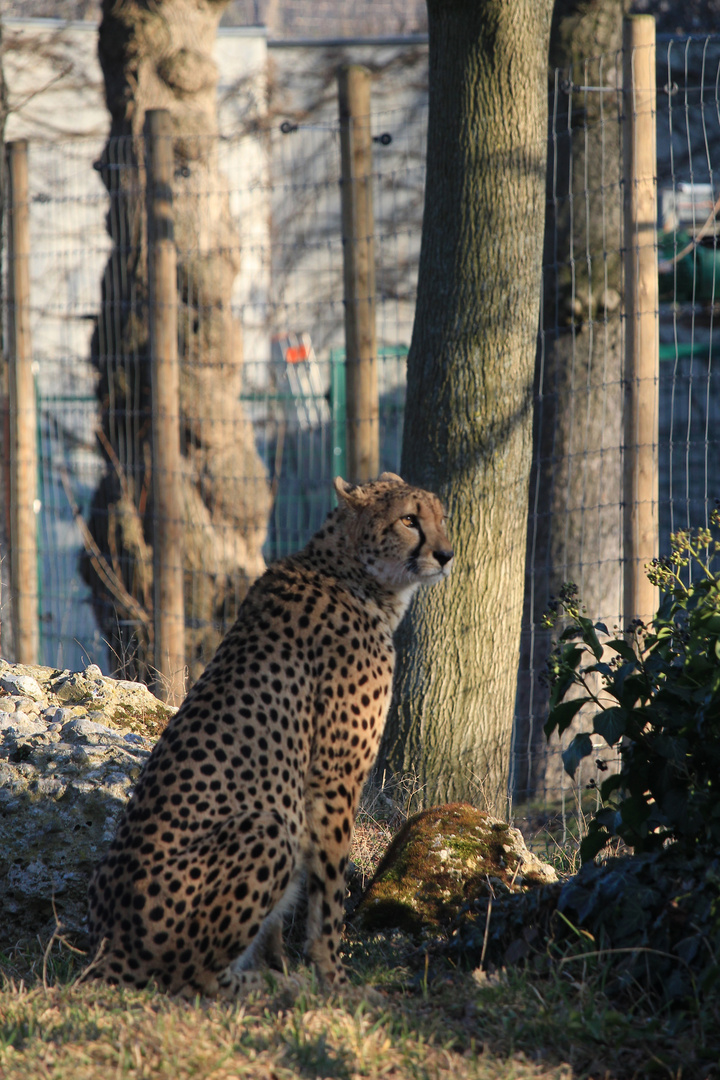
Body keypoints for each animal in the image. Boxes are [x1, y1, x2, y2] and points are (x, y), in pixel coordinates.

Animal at [84, 473, 453, 993]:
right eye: (408, 520)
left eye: (441, 517)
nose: (446, 554)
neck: (354, 575)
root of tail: (108, 947)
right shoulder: (333, 778)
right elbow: (329, 894)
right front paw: (333, 979)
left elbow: (281, 918)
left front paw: (281, 963)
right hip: (268, 826)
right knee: (192, 979)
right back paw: (269, 988)